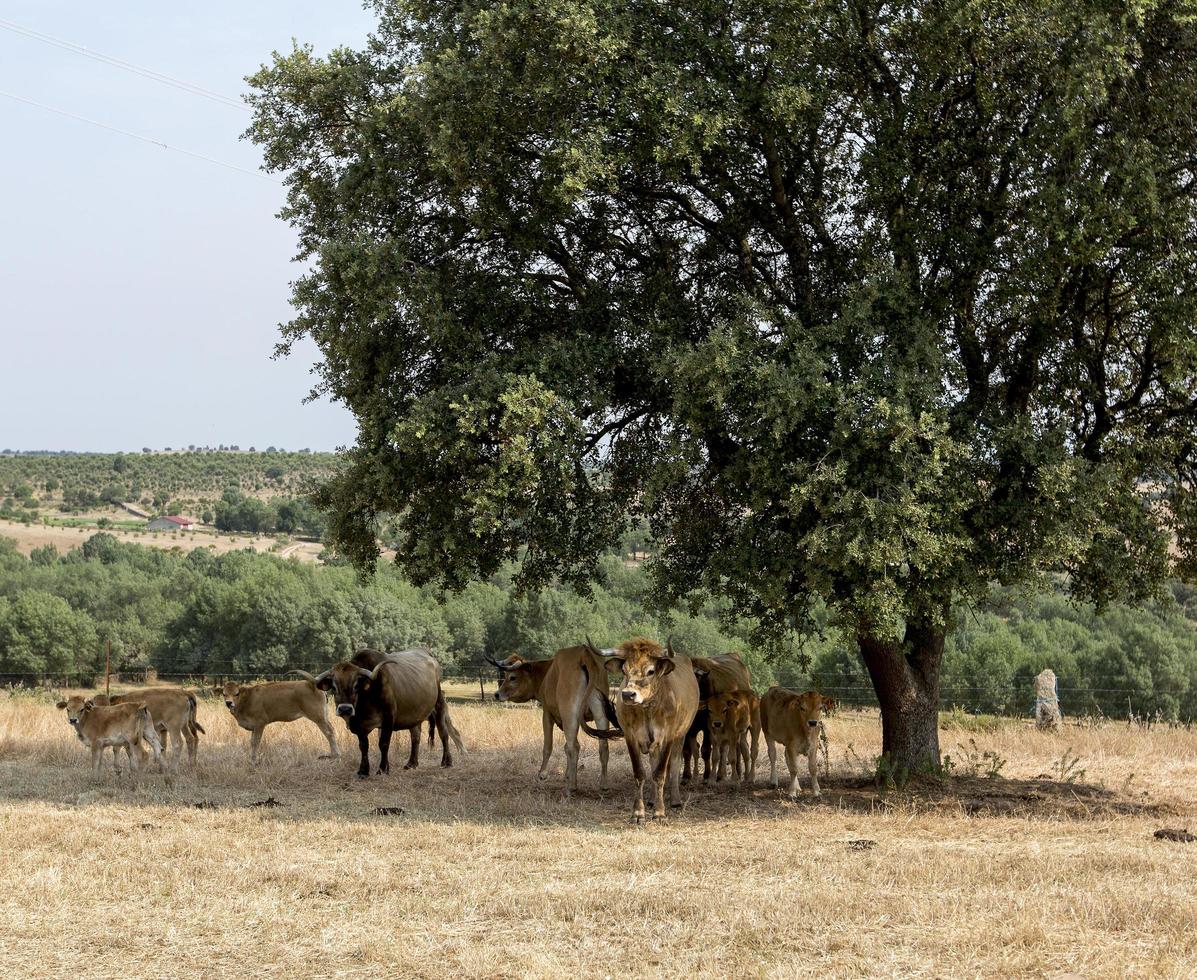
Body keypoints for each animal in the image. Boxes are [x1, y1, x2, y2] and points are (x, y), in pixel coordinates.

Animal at [308, 646, 462, 780]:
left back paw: (447, 762)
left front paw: (383, 769)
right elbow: (363, 746)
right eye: (334, 686)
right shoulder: (359, 726)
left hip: (439, 706)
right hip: (415, 715)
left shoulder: (388, 718)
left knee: (444, 733)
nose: (345, 709)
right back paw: (411, 763)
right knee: (416, 737)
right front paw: (363, 771)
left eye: (356, 685)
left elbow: (383, 743)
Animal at [485, 646, 622, 799]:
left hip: (569, 713)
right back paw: (603, 785)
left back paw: (571, 788)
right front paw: (568, 774)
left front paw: (542, 774)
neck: (547, 672)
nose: (497, 694)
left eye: (512, 677)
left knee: (574, 747)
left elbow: (548, 746)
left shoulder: (547, 714)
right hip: (599, 712)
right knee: (602, 745)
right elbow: (566, 747)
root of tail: (583, 652)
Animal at [581, 636, 699, 828]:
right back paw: (652, 800)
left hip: (681, 734)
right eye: (624, 670)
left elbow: (660, 773)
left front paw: (660, 813)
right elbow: (640, 773)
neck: (648, 709)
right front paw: (638, 813)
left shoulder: (668, 736)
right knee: (653, 762)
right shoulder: (631, 736)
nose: (628, 694)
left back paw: (675, 800)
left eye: (650, 671)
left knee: (674, 763)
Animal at [689, 655, 751, 784]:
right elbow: (692, 751)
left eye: (697, 680)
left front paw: (707, 775)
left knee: (736, 748)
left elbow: (706, 750)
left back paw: (735, 773)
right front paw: (691, 776)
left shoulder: (708, 729)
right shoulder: (690, 730)